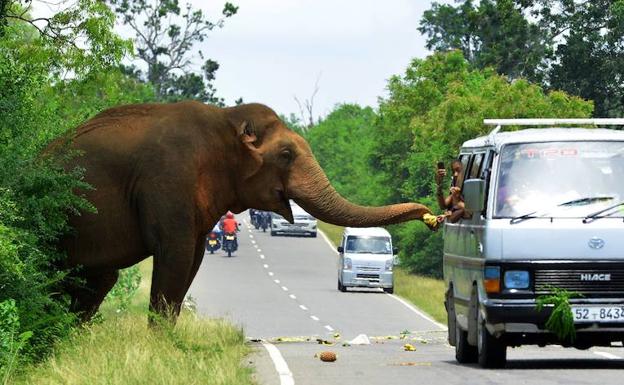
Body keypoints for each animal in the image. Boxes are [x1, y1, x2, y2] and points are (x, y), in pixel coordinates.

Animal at [52, 100, 434, 320]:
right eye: (286, 155)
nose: (431, 217)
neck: (224, 122)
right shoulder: (167, 180)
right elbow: (174, 257)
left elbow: (192, 260)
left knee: (98, 280)